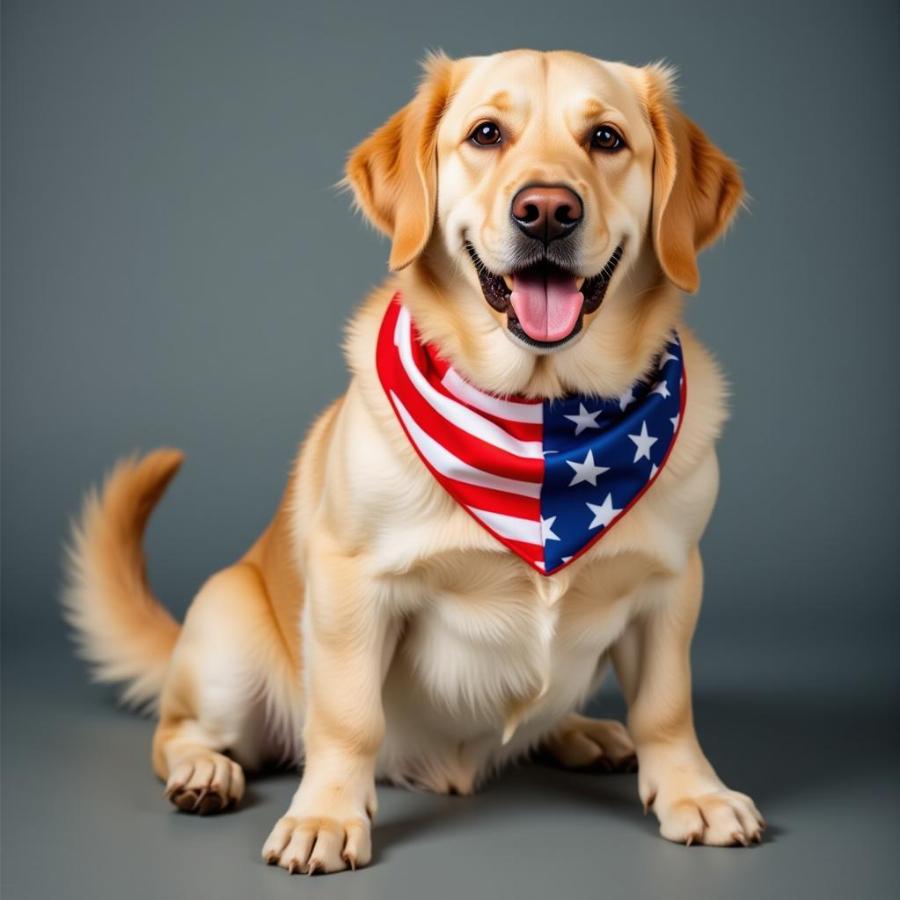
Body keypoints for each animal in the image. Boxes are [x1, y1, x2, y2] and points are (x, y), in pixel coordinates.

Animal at [65, 47, 768, 872]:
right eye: (487, 133)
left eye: (606, 138)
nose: (547, 210)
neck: (545, 414)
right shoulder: (353, 583)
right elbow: (346, 717)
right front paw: (327, 815)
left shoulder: (670, 584)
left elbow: (666, 707)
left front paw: (695, 792)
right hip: (228, 637)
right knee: (177, 734)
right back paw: (206, 770)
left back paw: (584, 733)